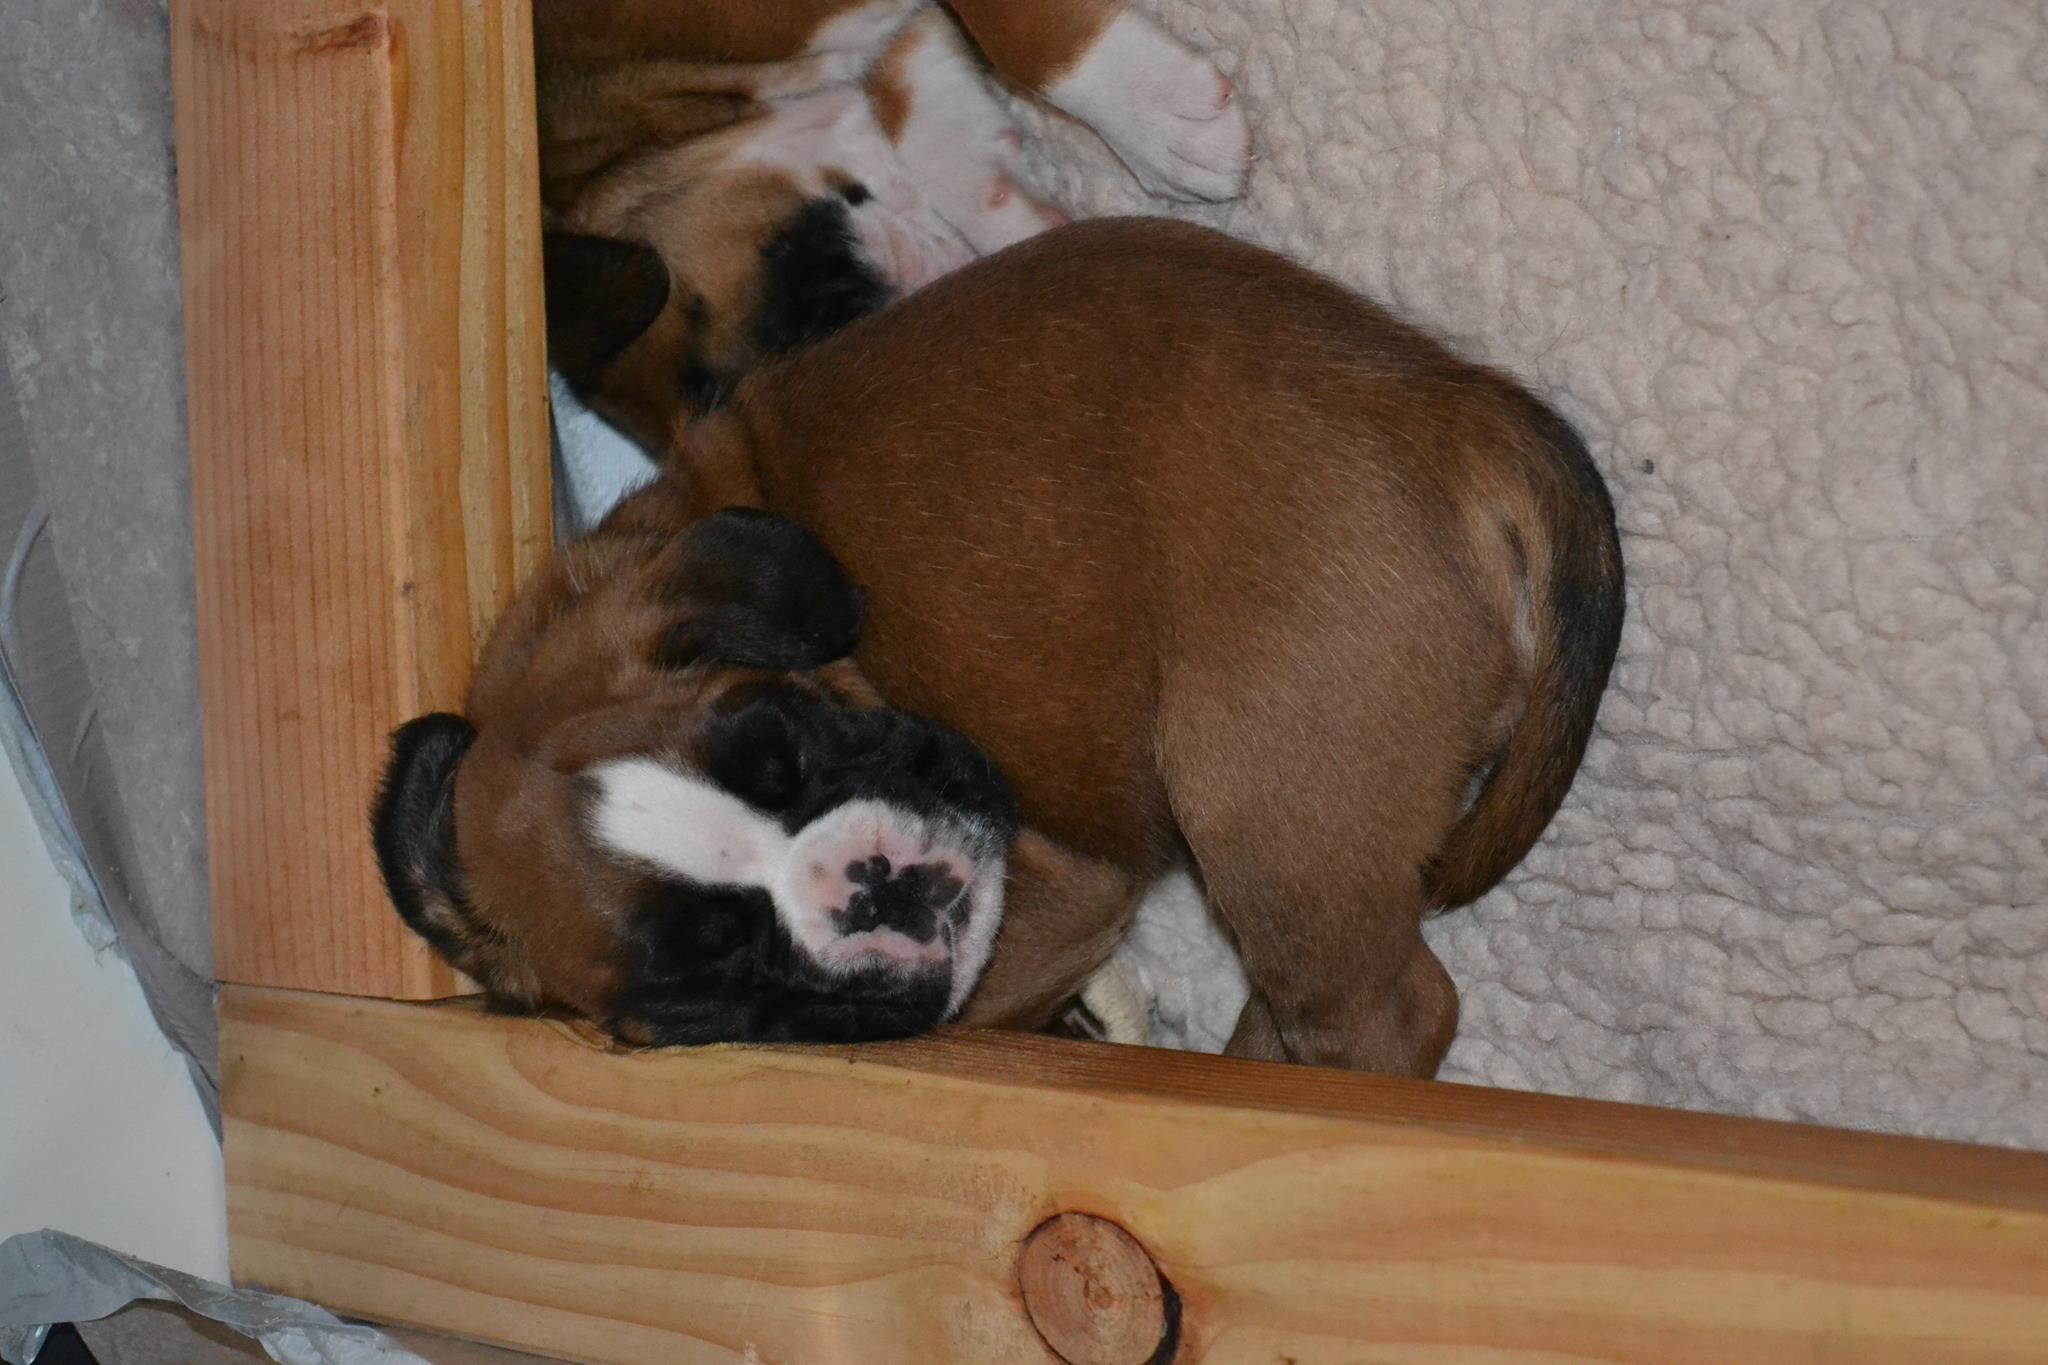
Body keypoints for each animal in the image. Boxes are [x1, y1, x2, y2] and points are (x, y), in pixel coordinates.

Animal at [374, 218, 1626, 1076]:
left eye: (791, 738)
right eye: (702, 980)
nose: (876, 885)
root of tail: (1453, 408)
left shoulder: (1060, 892)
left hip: (1263, 805)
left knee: (1385, 1012)